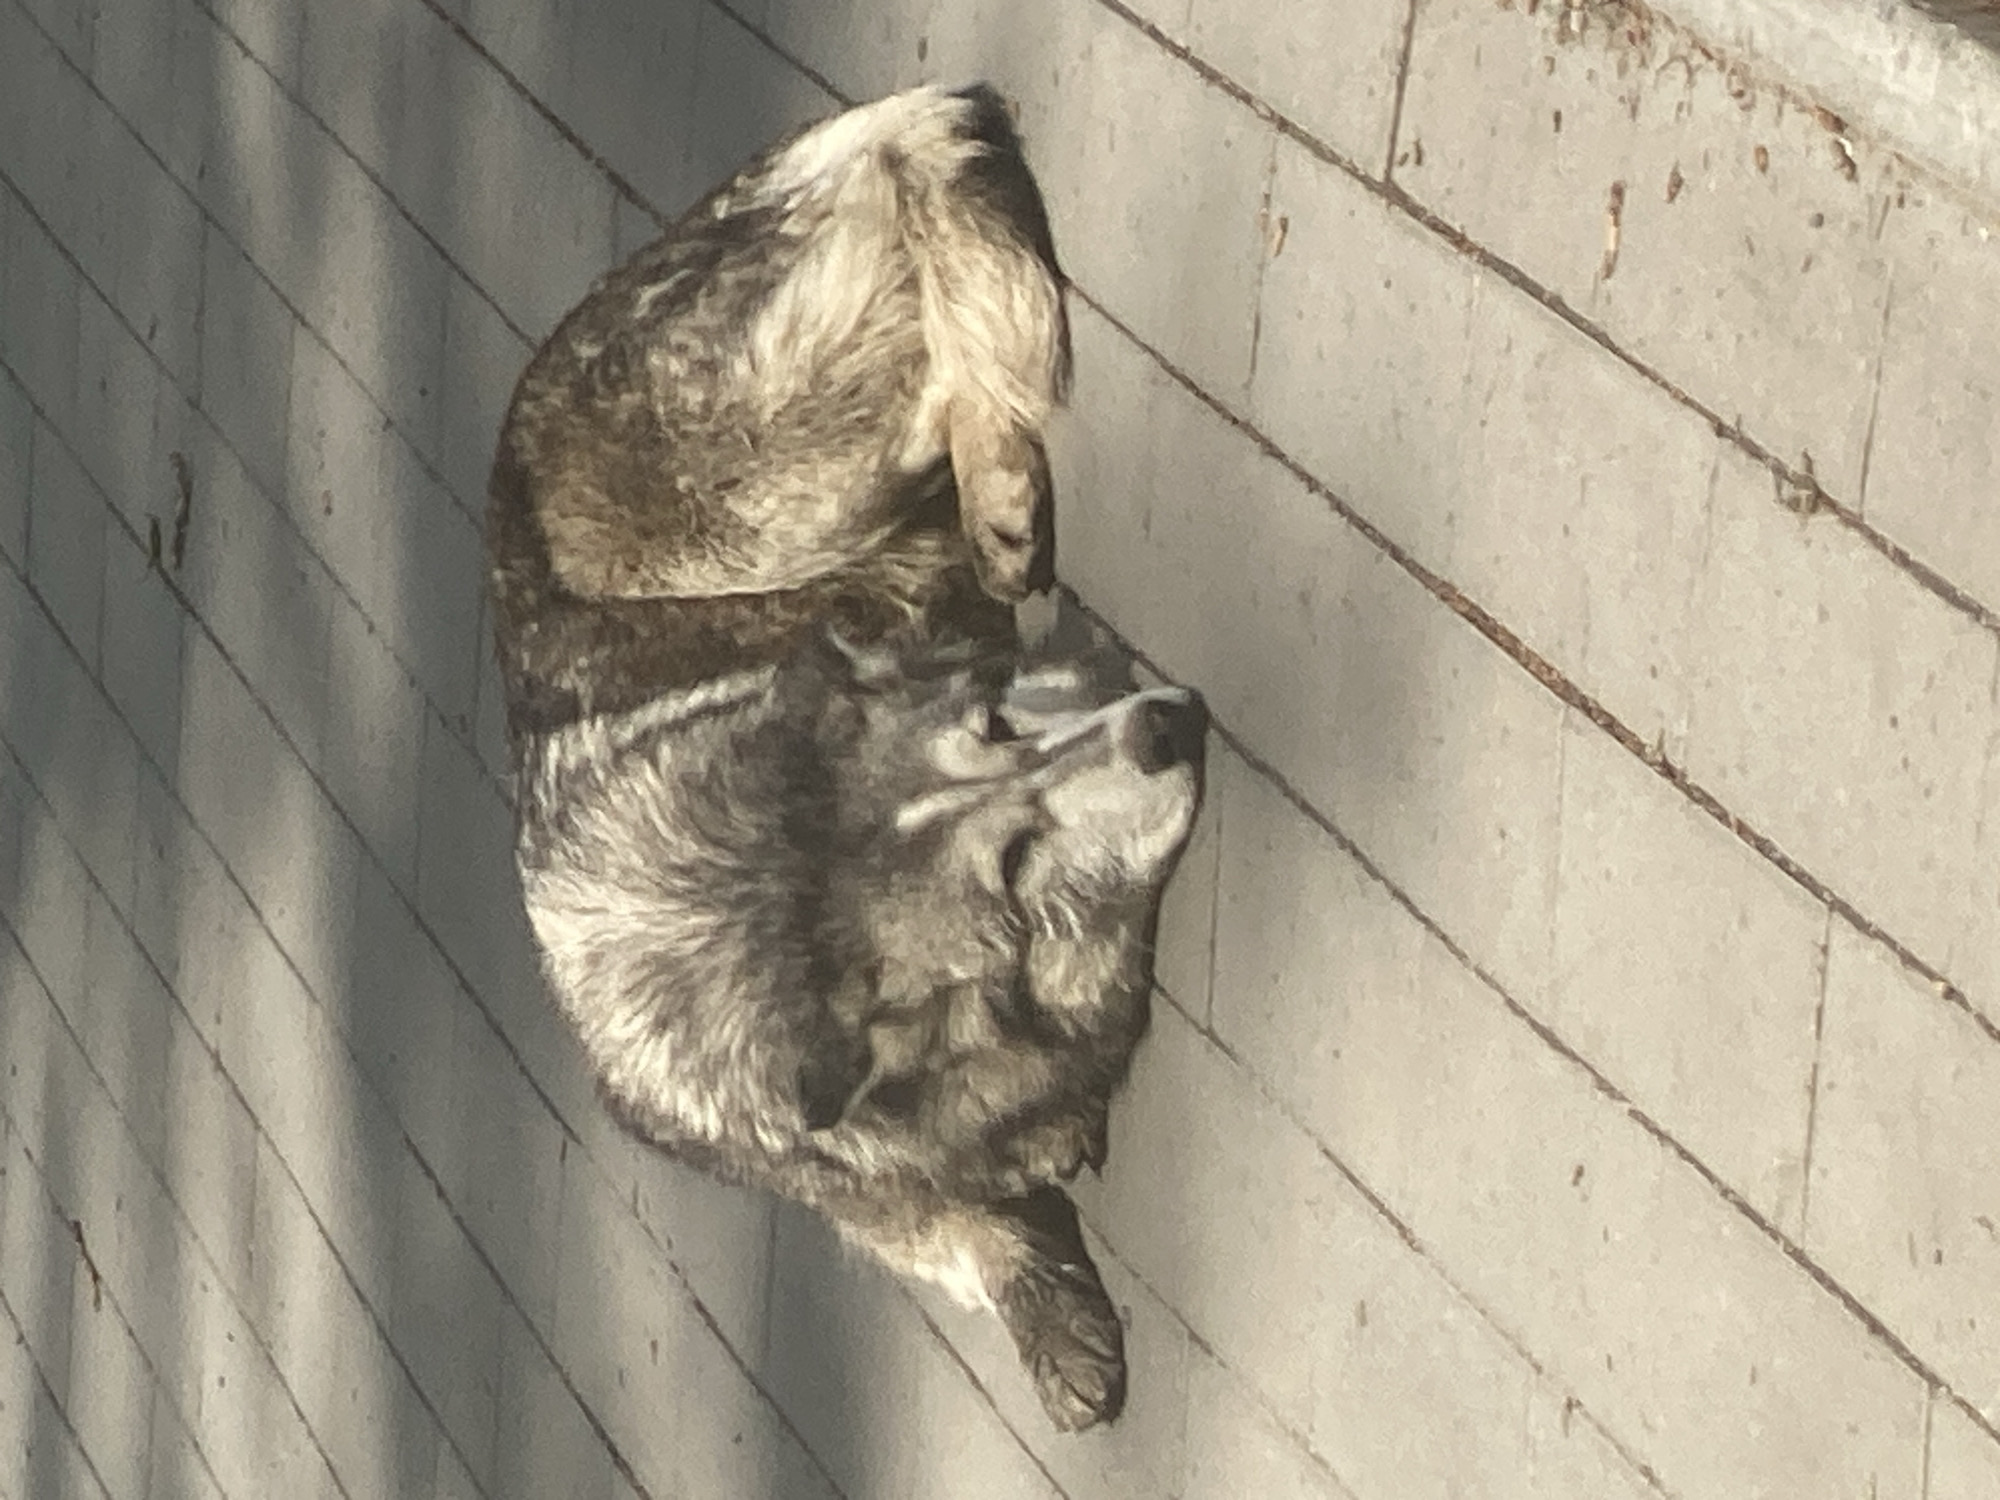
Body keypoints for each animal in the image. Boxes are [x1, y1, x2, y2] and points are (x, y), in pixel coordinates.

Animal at [488, 83, 1205, 1431]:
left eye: (998, 730)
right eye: (1012, 877)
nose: (1168, 724)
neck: (761, 886)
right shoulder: (828, 1162)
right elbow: (929, 1220)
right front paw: (1043, 1291)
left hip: (741, 507)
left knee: (923, 206)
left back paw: (997, 489)